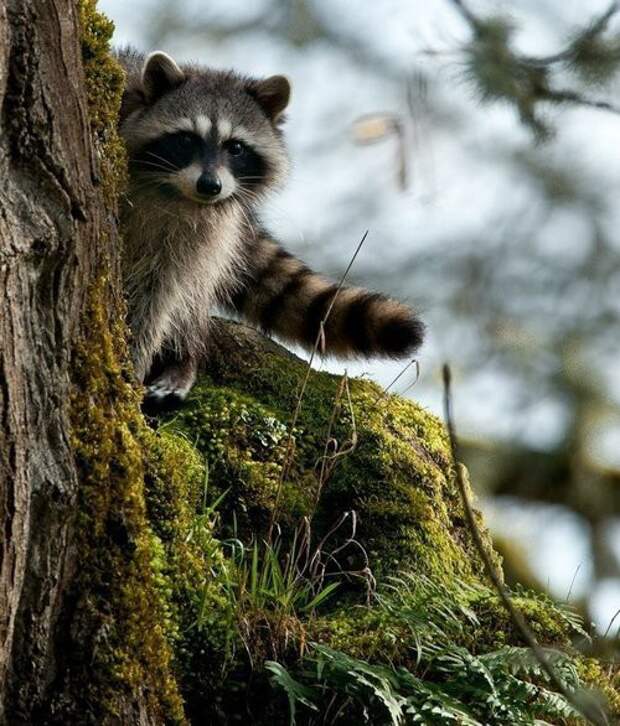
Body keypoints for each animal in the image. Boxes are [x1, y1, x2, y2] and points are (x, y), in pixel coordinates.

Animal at [114, 48, 424, 412]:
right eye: (187, 139)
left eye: (235, 148)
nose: (210, 186)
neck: (173, 192)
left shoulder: (201, 227)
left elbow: (159, 291)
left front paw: (140, 357)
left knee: (192, 288)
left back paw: (184, 356)